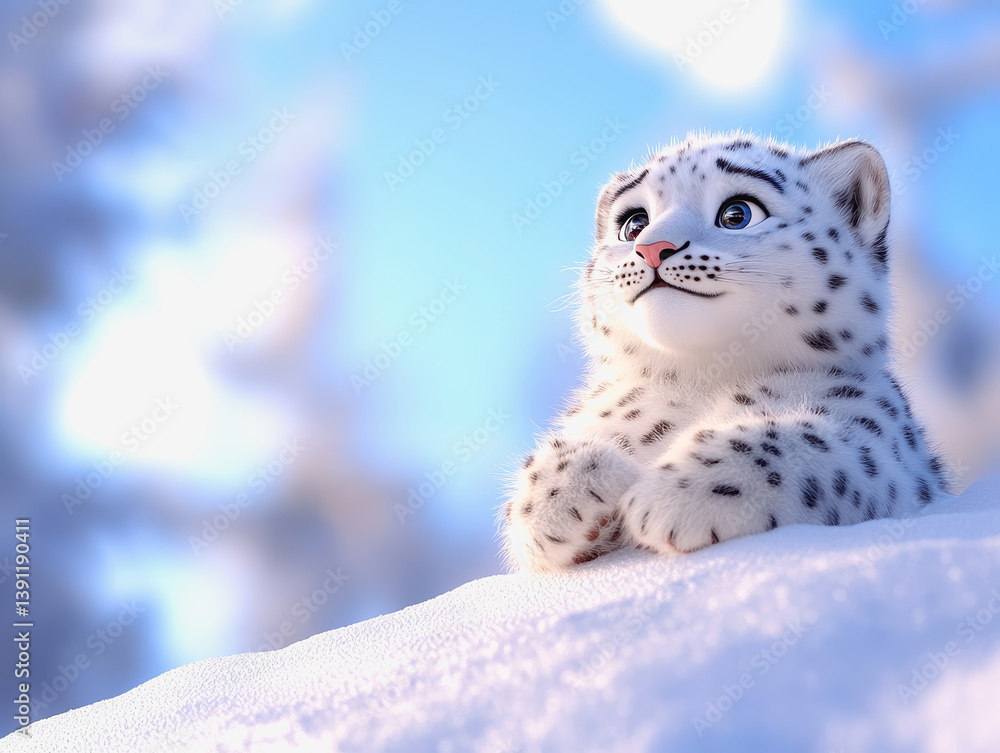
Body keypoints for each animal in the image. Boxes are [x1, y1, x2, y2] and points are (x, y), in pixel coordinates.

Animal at [501, 131, 950, 573]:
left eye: (738, 214)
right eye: (634, 224)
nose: (652, 248)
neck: (702, 376)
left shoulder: (883, 441)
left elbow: (805, 439)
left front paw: (674, 495)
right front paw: (566, 496)